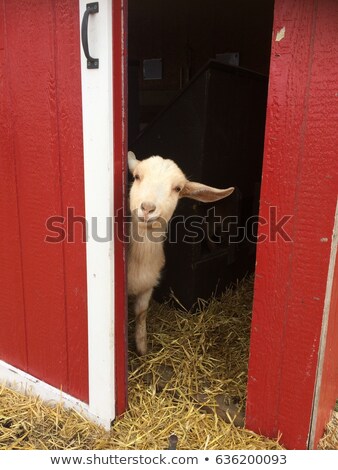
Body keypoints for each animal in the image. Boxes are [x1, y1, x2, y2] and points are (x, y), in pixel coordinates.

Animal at [127, 152, 235, 354]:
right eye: (137, 176)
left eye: (177, 188)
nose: (147, 208)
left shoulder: (148, 285)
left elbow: (141, 313)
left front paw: (142, 349)